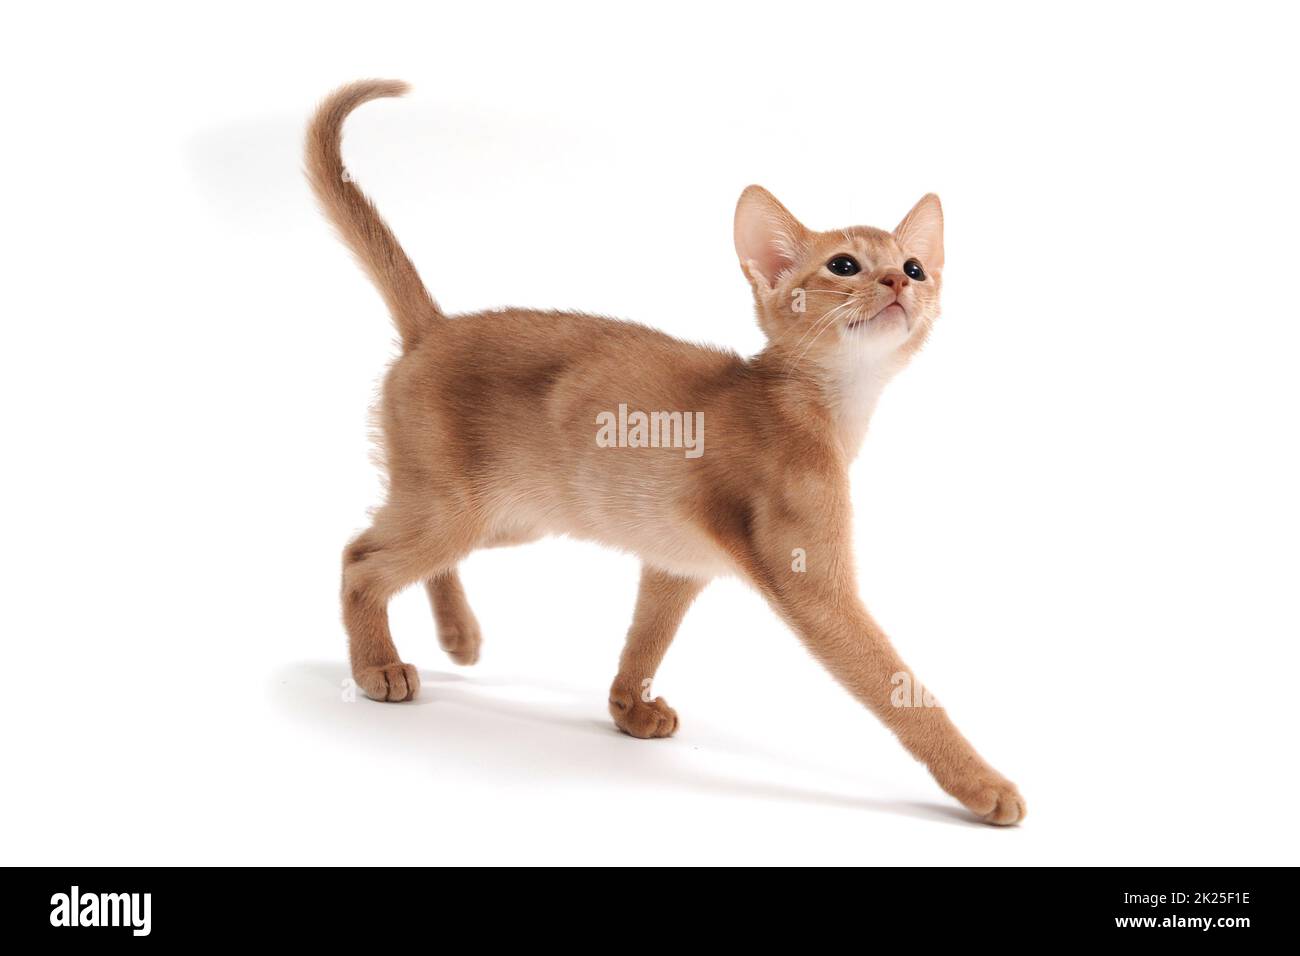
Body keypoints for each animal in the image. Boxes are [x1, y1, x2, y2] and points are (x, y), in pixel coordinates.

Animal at [306, 78, 1024, 822]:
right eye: (845, 265)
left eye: (914, 265)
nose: (899, 283)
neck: (829, 407)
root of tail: (434, 329)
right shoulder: (814, 586)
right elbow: (898, 687)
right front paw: (982, 785)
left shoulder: (677, 561)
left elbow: (645, 638)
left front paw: (628, 708)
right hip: (457, 507)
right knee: (359, 558)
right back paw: (377, 667)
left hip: (510, 515)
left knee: (406, 552)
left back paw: (459, 635)